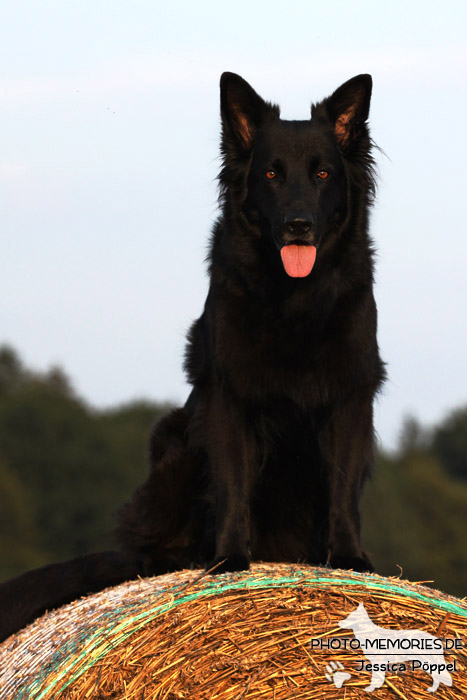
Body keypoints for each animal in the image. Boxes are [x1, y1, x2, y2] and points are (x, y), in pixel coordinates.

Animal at [0, 74, 386, 644]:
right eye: (271, 174)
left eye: (322, 174)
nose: (298, 225)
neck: (294, 299)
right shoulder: (226, 397)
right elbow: (232, 483)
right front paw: (228, 562)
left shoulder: (350, 397)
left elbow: (343, 487)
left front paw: (350, 560)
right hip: (174, 439)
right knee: (150, 549)